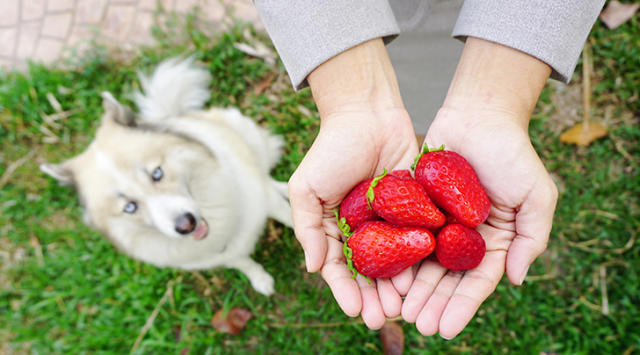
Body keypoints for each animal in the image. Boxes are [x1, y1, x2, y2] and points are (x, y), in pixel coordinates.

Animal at [38, 58, 292, 296]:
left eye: (157, 173)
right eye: (130, 207)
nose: (186, 225)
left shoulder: (266, 200)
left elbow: (288, 214)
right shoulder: (220, 254)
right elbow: (244, 263)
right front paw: (259, 279)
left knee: (266, 173)